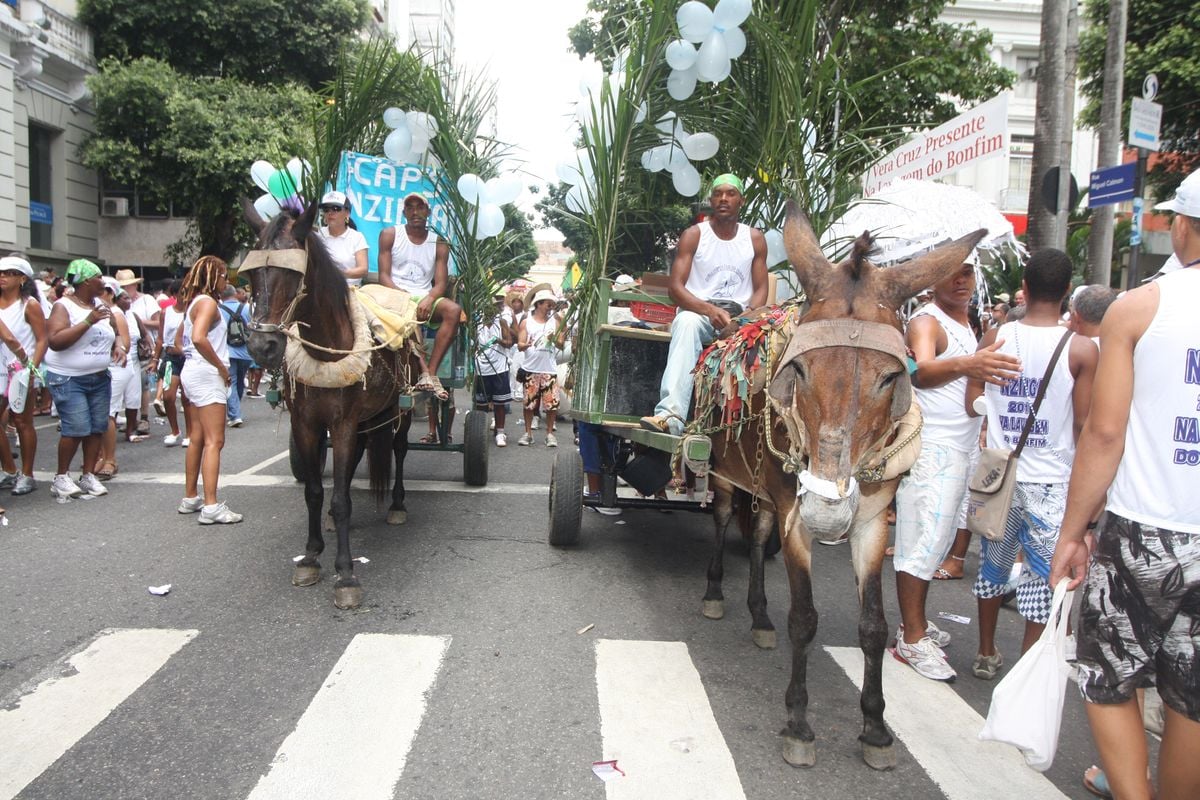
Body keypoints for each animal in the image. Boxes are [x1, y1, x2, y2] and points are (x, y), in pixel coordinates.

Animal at [241, 200, 420, 606]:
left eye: (291, 275)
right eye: (251, 275)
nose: (262, 347)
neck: (325, 348)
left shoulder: (343, 423)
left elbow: (339, 500)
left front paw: (346, 574)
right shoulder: (306, 424)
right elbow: (314, 491)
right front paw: (310, 556)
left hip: (402, 407)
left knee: (399, 448)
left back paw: (398, 505)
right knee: (358, 455)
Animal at [700, 203, 984, 772]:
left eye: (889, 377)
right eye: (800, 369)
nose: (828, 514)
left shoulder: (872, 522)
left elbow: (873, 625)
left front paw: (875, 729)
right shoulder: (797, 519)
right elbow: (804, 618)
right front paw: (798, 724)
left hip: (768, 491)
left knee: (758, 535)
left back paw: (759, 616)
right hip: (726, 471)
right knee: (721, 520)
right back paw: (717, 592)